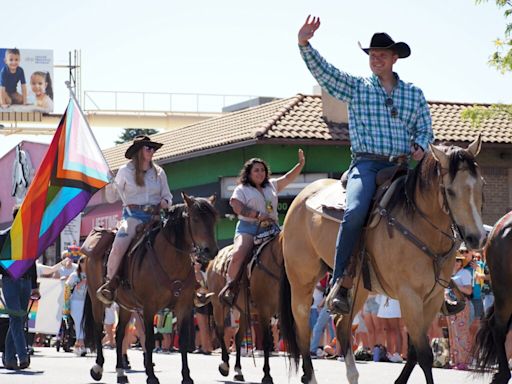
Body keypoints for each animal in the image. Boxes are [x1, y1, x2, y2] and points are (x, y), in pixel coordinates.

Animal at [82, 195, 218, 384]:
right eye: (196, 219)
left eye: (214, 220)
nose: (210, 251)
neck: (171, 260)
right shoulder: (149, 307)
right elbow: (149, 341)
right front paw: (151, 376)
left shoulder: (183, 306)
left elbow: (183, 341)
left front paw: (186, 377)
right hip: (97, 301)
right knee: (98, 328)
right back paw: (98, 368)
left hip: (126, 306)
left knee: (119, 335)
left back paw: (121, 373)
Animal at [206, 234, 282, 384]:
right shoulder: (264, 311)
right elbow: (266, 342)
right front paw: (267, 375)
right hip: (218, 305)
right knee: (220, 331)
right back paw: (225, 365)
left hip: (244, 311)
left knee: (237, 337)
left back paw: (238, 370)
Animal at [278, 138, 486, 384]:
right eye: (451, 191)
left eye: (481, 186)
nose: (477, 238)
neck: (420, 225)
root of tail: (301, 198)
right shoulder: (409, 296)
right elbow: (425, 354)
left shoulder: (433, 298)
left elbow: (415, 351)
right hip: (302, 281)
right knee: (302, 327)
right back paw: (309, 376)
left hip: (358, 287)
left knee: (341, 324)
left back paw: (352, 374)